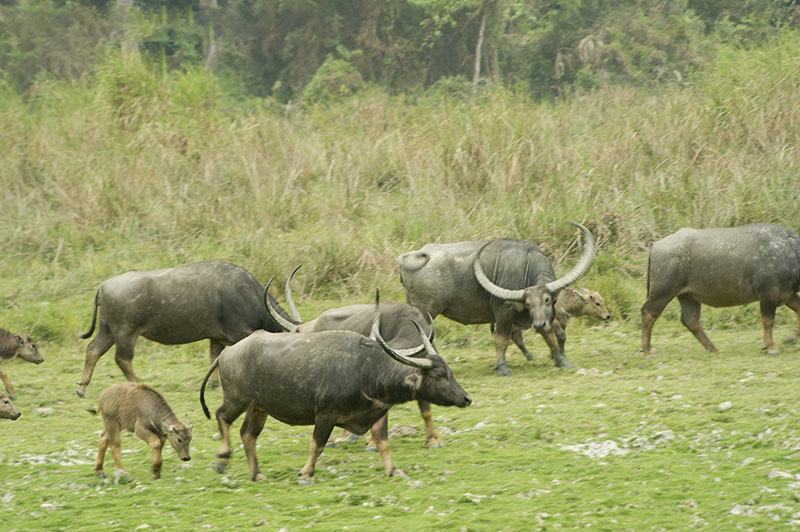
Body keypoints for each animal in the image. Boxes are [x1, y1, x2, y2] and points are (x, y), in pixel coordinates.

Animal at [75, 260, 292, 396]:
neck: (248, 295)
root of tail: (104, 286)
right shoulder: (240, 333)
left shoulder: (216, 338)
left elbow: (215, 357)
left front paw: (214, 384)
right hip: (125, 332)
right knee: (122, 359)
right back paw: (138, 383)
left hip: (107, 330)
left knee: (93, 349)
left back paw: (82, 387)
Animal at [200, 294, 472, 484]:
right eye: (438, 375)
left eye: (449, 371)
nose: (466, 398)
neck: (368, 370)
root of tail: (228, 353)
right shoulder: (325, 415)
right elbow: (317, 444)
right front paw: (306, 474)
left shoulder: (378, 413)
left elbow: (383, 442)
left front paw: (394, 470)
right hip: (237, 400)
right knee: (222, 416)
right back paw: (222, 459)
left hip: (258, 407)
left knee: (248, 434)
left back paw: (256, 474)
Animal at [396, 222, 592, 376]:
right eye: (528, 304)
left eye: (547, 300)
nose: (537, 325)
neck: (526, 267)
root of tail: (410, 257)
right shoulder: (504, 312)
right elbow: (502, 339)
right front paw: (502, 367)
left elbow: (554, 334)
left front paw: (561, 360)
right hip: (426, 312)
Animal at [640, 222, 800, 356]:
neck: (789, 251)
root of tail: (656, 245)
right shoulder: (768, 293)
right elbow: (768, 320)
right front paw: (771, 347)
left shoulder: (788, 294)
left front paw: (791, 338)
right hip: (662, 292)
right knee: (648, 312)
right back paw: (647, 350)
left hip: (688, 296)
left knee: (690, 320)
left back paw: (712, 348)